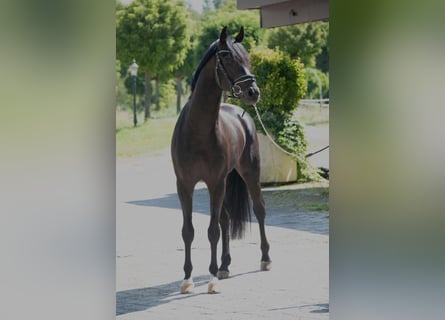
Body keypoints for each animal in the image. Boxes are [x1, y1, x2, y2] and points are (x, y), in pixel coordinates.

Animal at [172, 26, 270, 294]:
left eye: (248, 58)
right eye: (227, 58)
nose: (253, 92)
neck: (197, 131)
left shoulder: (215, 183)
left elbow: (212, 230)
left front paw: (212, 278)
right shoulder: (185, 185)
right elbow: (188, 231)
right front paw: (187, 279)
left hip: (249, 174)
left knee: (259, 210)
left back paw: (265, 259)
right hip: (226, 181)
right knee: (225, 219)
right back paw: (225, 265)